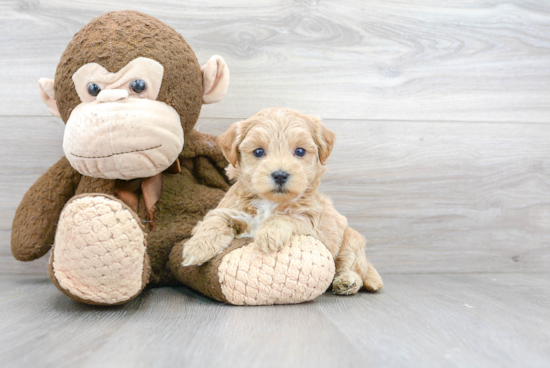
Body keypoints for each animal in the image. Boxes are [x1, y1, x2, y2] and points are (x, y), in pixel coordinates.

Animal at [184, 108, 384, 294]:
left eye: (300, 151)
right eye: (258, 151)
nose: (280, 175)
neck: (269, 202)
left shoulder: (312, 222)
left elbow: (285, 217)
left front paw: (268, 233)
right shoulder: (231, 209)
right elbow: (215, 220)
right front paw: (196, 248)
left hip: (351, 241)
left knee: (349, 265)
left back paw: (347, 281)